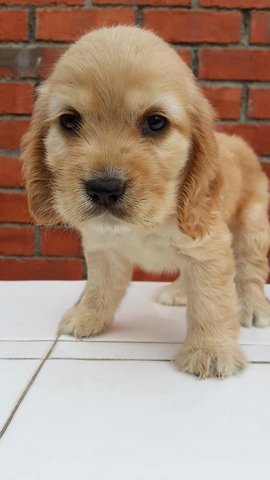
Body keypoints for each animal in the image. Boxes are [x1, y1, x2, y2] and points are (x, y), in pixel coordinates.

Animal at [21, 26, 270, 378]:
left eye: (155, 122)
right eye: (69, 121)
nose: (104, 188)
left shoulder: (210, 247)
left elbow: (211, 301)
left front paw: (210, 349)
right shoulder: (103, 249)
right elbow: (99, 287)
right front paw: (88, 315)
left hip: (252, 226)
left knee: (250, 270)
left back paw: (253, 306)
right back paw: (178, 292)